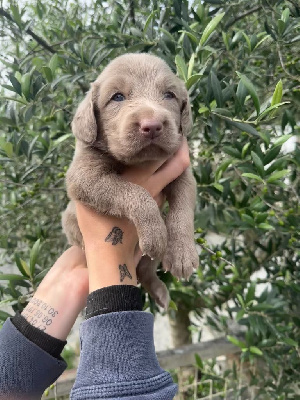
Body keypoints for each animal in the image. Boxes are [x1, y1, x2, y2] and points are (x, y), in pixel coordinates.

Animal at [62, 53, 199, 308]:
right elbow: (134, 191)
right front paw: (154, 231)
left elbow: (182, 211)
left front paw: (182, 253)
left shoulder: (183, 173)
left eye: (169, 95)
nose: (152, 125)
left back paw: (159, 292)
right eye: (117, 97)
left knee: (146, 270)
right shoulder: (83, 175)